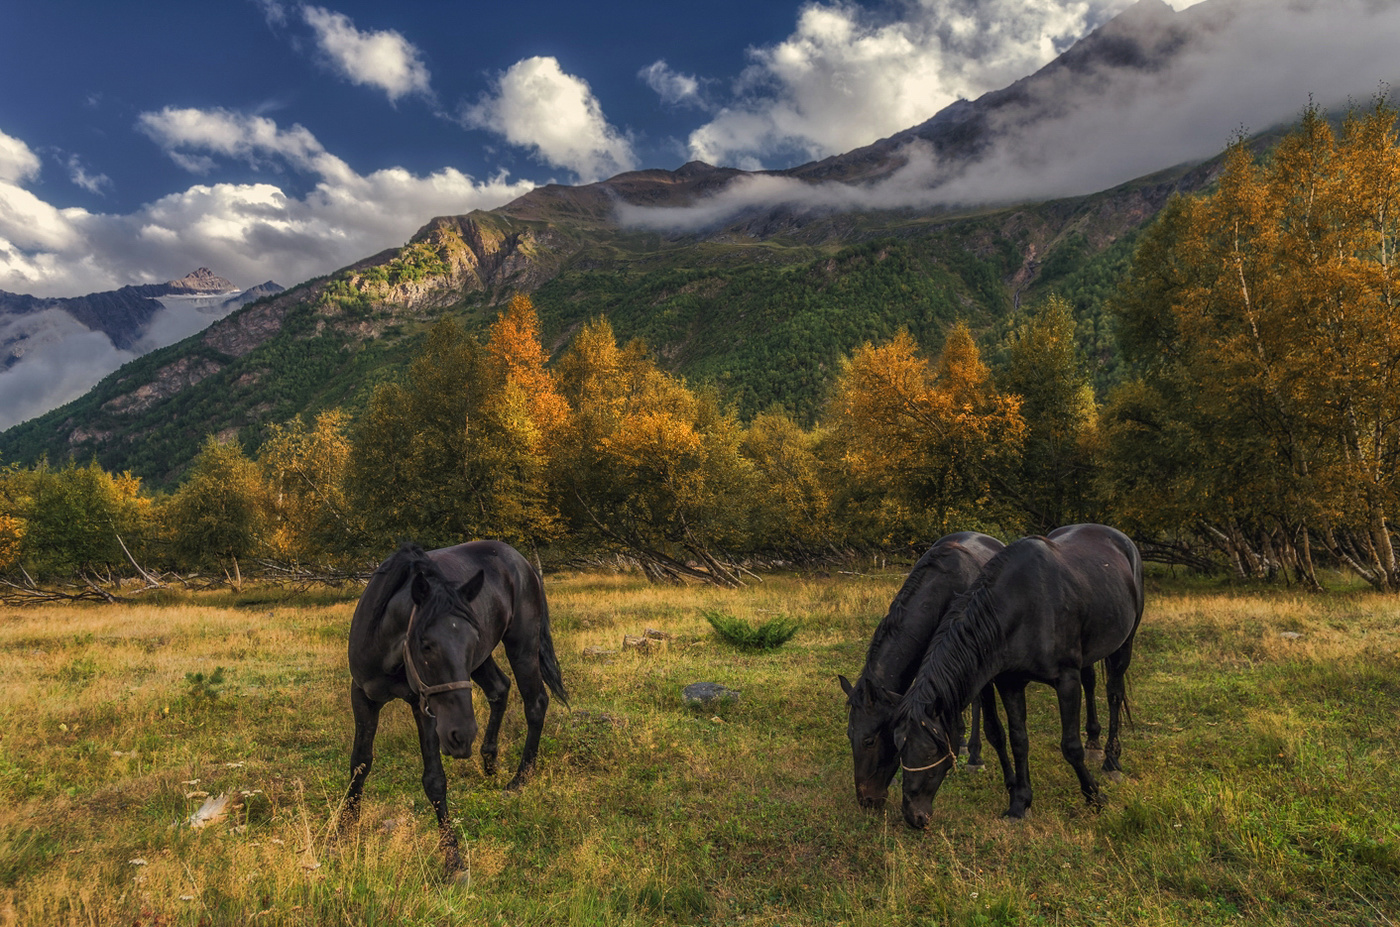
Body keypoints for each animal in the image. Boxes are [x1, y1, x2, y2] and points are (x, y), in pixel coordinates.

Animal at [338, 540, 568, 873]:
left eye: (472, 638)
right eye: (426, 645)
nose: (462, 735)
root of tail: (520, 560)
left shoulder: (424, 706)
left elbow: (434, 779)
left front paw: (453, 858)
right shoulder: (363, 696)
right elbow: (360, 763)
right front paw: (342, 833)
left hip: (521, 646)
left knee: (535, 703)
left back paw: (520, 778)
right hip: (485, 662)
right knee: (500, 688)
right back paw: (489, 759)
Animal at [890, 526, 1142, 828]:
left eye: (930, 751)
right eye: (898, 748)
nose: (913, 816)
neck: (1023, 606)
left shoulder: (1066, 681)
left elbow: (1071, 746)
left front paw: (1094, 796)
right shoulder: (1010, 683)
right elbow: (1018, 740)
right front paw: (1020, 803)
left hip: (1124, 644)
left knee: (1114, 694)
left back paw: (1111, 761)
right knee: (1092, 683)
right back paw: (1096, 745)